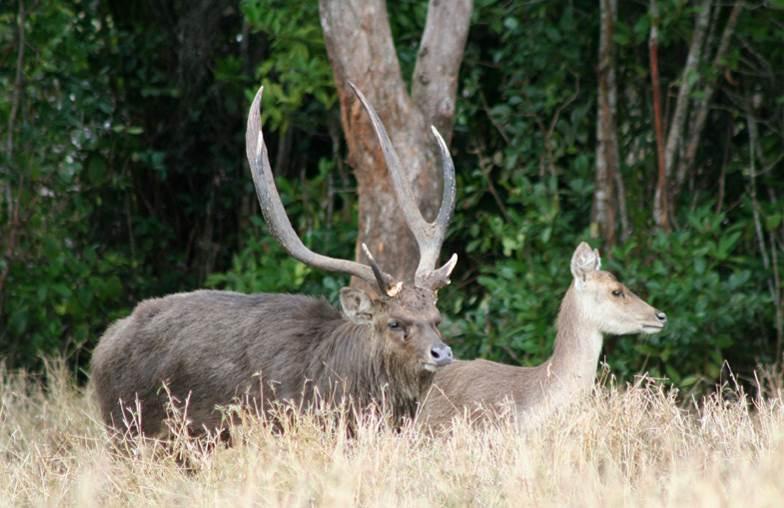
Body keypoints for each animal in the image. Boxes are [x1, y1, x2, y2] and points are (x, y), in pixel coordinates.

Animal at [92, 85, 460, 438]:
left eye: (436, 318)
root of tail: (101, 349)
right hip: (126, 429)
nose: (442, 353)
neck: (338, 383)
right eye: (394, 322)